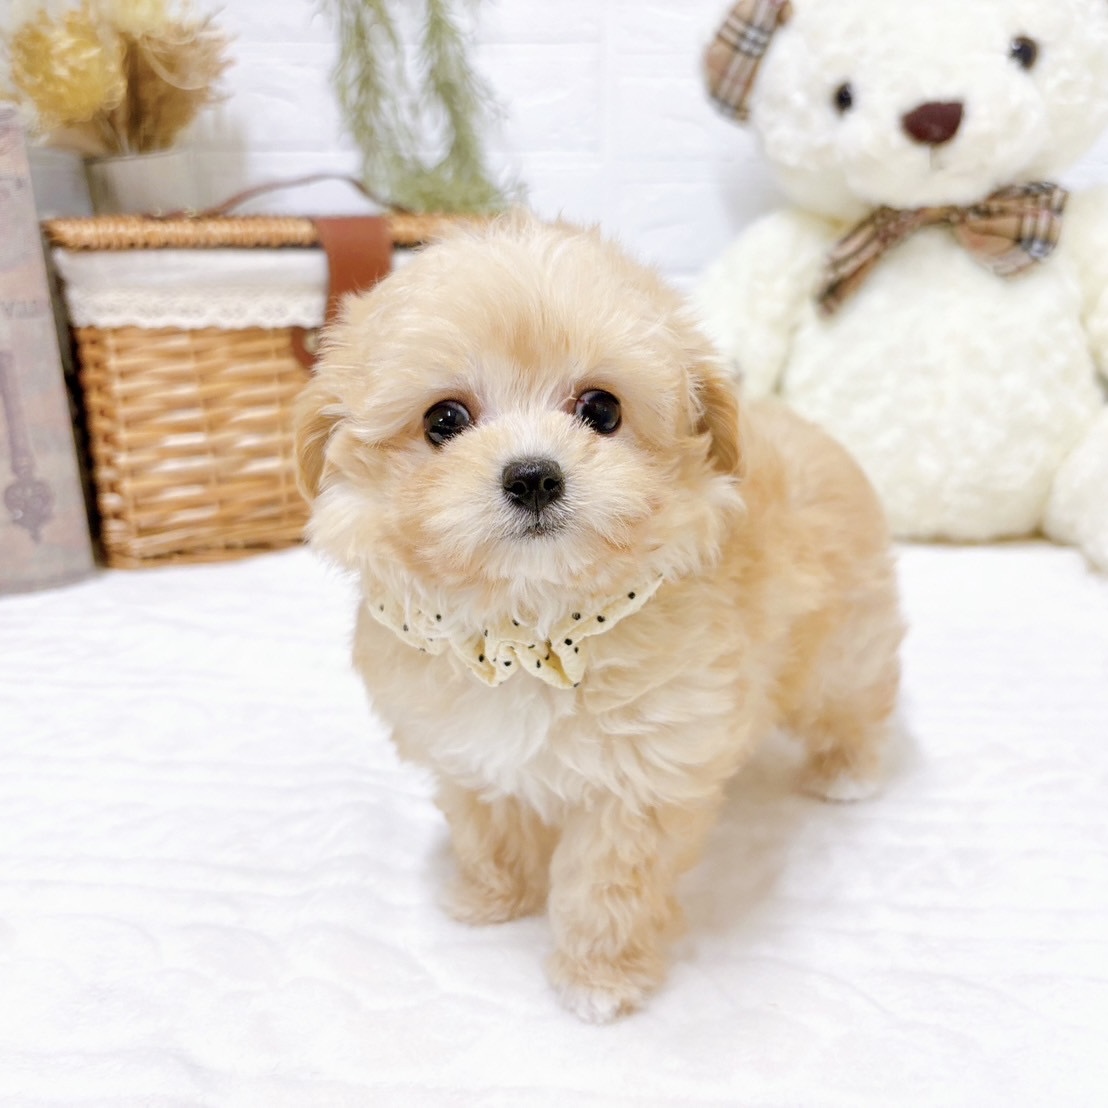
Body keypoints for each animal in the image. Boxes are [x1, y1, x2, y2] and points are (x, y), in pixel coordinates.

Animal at [293, 213, 904, 1023]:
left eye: (602, 410)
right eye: (444, 420)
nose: (532, 476)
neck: (530, 628)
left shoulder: (640, 785)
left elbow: (608, 887)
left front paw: (597, 978)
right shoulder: (467, 754)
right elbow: (487, 827)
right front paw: (493, 898)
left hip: (840, 646)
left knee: (857, 698)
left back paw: (850, 771)